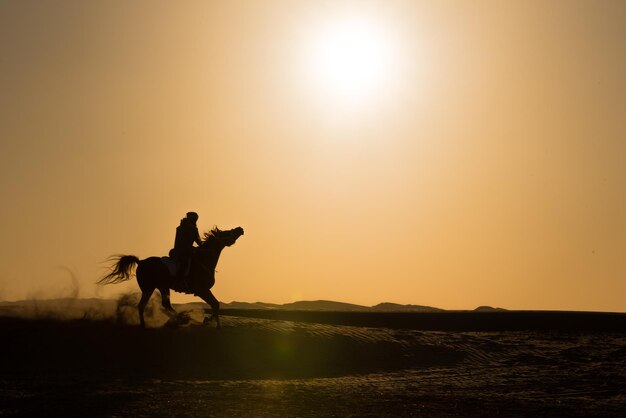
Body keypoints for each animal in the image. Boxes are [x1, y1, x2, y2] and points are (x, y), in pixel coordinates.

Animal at [98, 227, 243, 328]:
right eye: (226, 232)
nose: (240, 229)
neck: (203, 260)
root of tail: (141, 262)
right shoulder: (202, 290)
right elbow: (215, 304)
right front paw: (209, 322)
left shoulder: (204, 291)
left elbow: (215, 305)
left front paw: (214, 324)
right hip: (154, 287)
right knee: (159, 305)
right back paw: (179, 318)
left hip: (156, 288)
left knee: (149, 305)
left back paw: (150, 324)